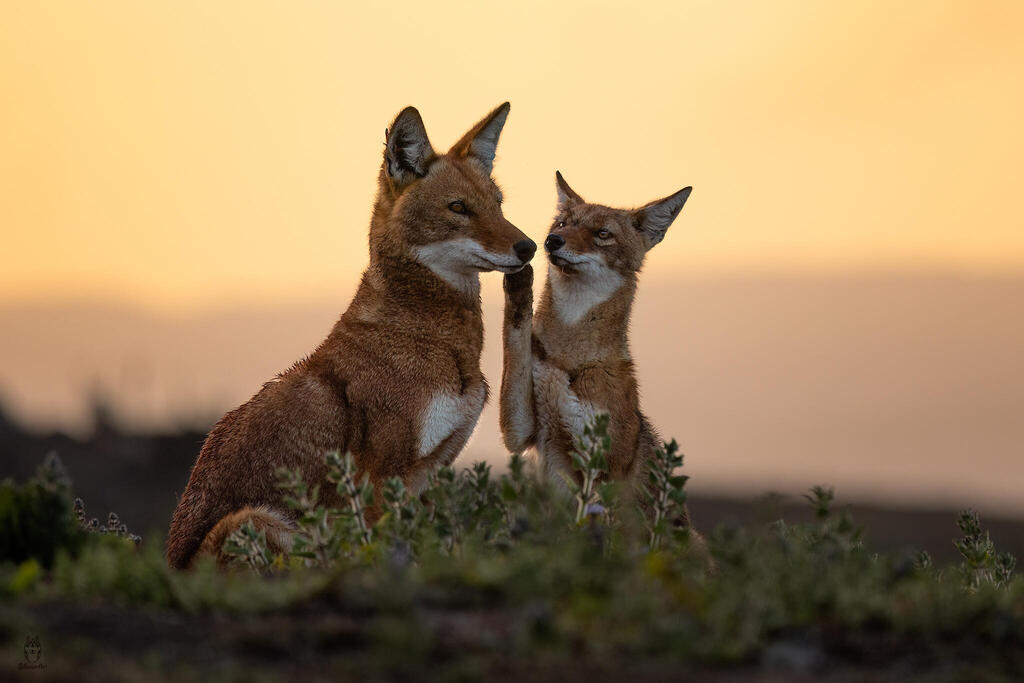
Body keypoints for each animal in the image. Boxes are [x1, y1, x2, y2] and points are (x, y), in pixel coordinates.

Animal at [167, 103, 536, 568]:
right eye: (458, 207)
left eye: (498, 205)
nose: (530, 247)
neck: (433, 340)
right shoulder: (381, 478)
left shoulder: (430, 474)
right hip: (258, 521)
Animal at [500, 171, 691, 505]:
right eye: (562, 223)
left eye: (602, 234)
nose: (552, 241)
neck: (568, 359)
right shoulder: (521, 432)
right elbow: (516, 340)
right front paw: (520, 283)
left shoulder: (603, 470)